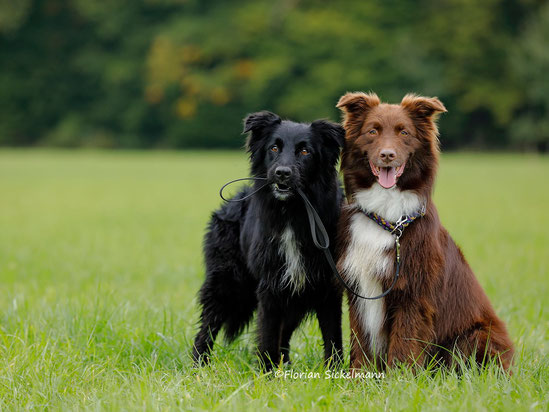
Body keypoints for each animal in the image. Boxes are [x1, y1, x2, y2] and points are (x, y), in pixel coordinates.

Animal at [193, 111, 342, 368]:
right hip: (226, 282)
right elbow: (268, 333)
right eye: (274, 148)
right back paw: (198, 365)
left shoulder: (327, 286)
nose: (282, 172)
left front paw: (336, 372)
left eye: (305, 151)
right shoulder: (271, 285)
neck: (292, 212)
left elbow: (333, 337)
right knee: (207, 327)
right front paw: (268, 371)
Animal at [334, 91, 512, 372]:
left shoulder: (412, 292)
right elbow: (360, 340)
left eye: (404, 132)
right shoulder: (358, 288)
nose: (387, 155)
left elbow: (404, 342)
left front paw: (399, 377)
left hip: (477, 334)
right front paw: (359, 376)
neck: (387, 217)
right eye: (372, 131)